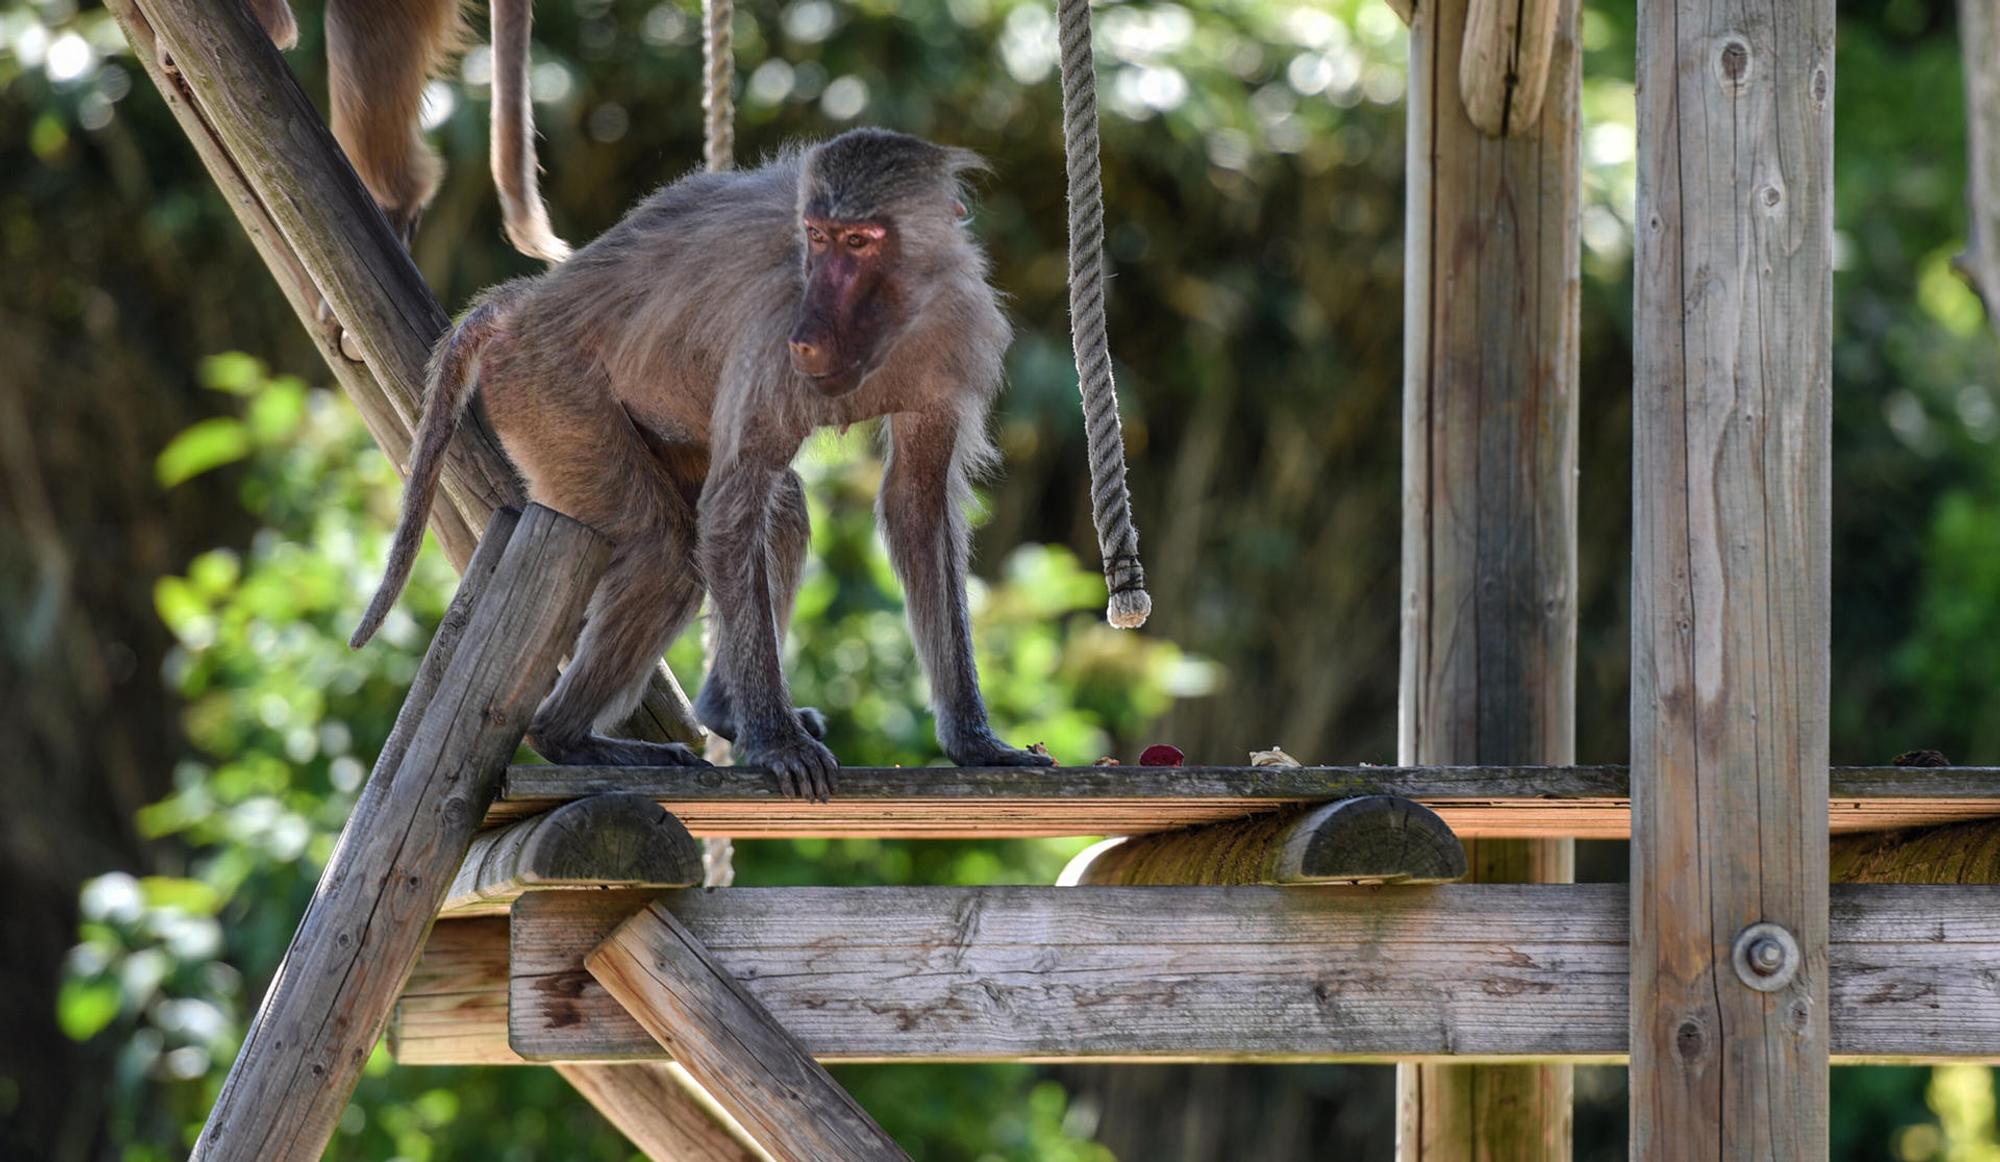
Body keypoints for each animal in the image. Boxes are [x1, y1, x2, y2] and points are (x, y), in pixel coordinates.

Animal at [350, 128, 1057, 800]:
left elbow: (915, 505)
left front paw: (973, 742)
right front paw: (777, 744)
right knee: (671, 550)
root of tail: (526, 305)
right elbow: (728, 515)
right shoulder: (775, 332)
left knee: (778, 510)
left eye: (860, 242)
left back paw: (720, 711)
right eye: (818, 238)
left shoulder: (949, 336)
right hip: (547, 392)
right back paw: (566, 737)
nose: (812, 335)